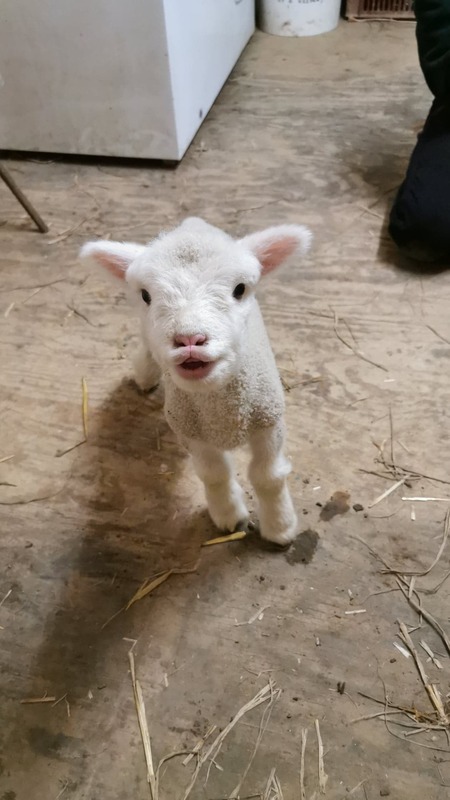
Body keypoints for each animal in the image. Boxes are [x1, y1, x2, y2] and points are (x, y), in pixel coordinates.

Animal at [80, 217, 312, 545]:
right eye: (146, 295)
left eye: (240, 289)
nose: (190, 340)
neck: (220, 415)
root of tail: (193, 223)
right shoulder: (191, 431)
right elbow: (214, 475)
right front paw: (229, 516)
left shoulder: (268, 420)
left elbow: (268, 476)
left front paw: (280, 526)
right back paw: (145, 375)